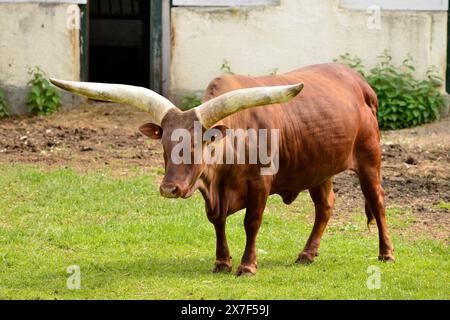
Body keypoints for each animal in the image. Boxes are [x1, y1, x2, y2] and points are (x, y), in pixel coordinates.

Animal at [50, 62, 394, 276]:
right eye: (164, 147)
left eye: (195, 146)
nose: (169, 189)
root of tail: (359, 82)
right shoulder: (211, 191)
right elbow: (217, 222)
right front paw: (221, 262)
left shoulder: (260, 184)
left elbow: (251, 223)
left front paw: (247, 266)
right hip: (318, 169)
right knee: (325, 207)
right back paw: (307, 254)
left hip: (369, 158)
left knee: (377, 201)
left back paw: (386, 253)